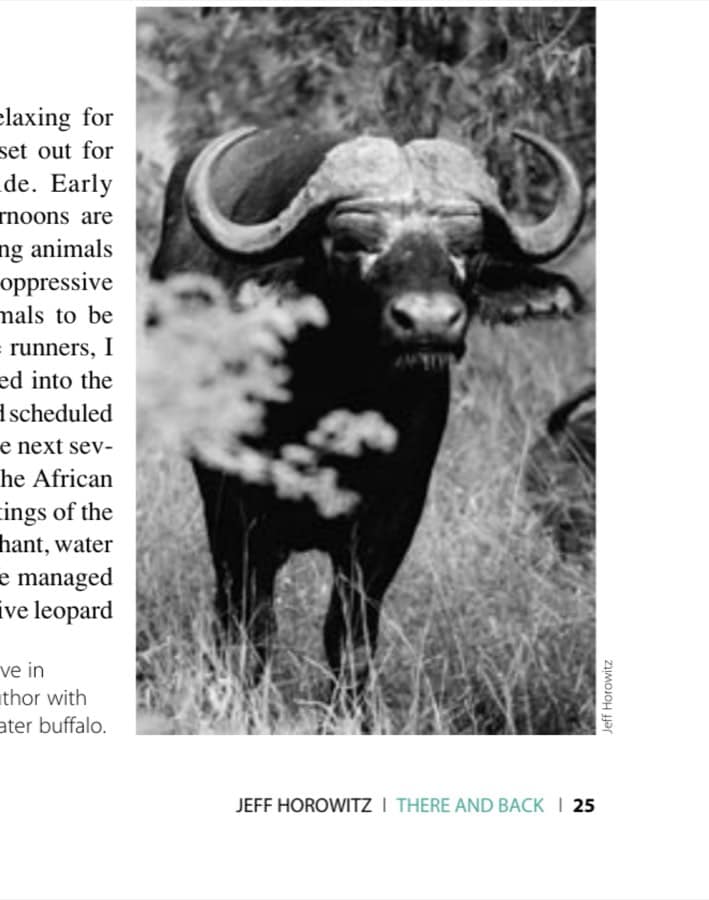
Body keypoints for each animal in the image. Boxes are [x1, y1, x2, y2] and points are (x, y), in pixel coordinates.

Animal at [151, 125, 585, 690]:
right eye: (352, 243)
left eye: (468, 248)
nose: (429, 322)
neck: (338, 399)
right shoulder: (237, 506)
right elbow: (252, 624)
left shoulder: (393, 517)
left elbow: (350, 637)